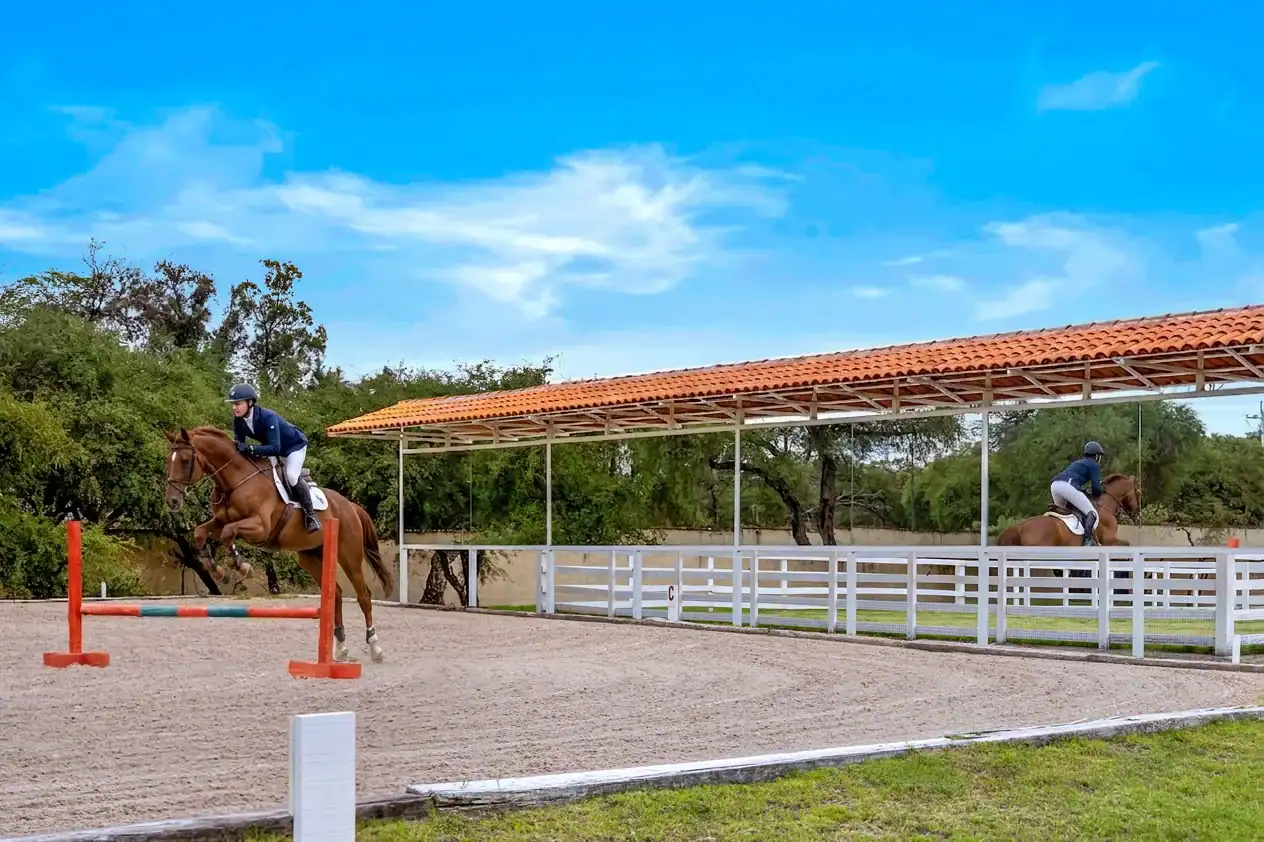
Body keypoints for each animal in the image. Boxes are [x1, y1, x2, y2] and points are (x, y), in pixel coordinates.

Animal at [163, 426, 393, 664]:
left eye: (185, 460)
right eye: (168, 460)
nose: (172, 502)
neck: (235, 480)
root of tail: (350, 506)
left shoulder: (259, 527)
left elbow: (228, 534)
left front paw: (241, 567)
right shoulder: (220, 522)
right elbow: (200, 533)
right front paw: (218, 571)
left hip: (349, 556)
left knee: (363, 595)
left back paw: (375, 647)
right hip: (311, 557)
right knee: (336, 594)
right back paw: (340, 648)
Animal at [996, 473, 1142, 547]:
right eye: (1138, 492)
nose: (1137, 515)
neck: (1105, 505)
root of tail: (1019, 528)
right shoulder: (1109, 541)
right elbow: (1127, 544)